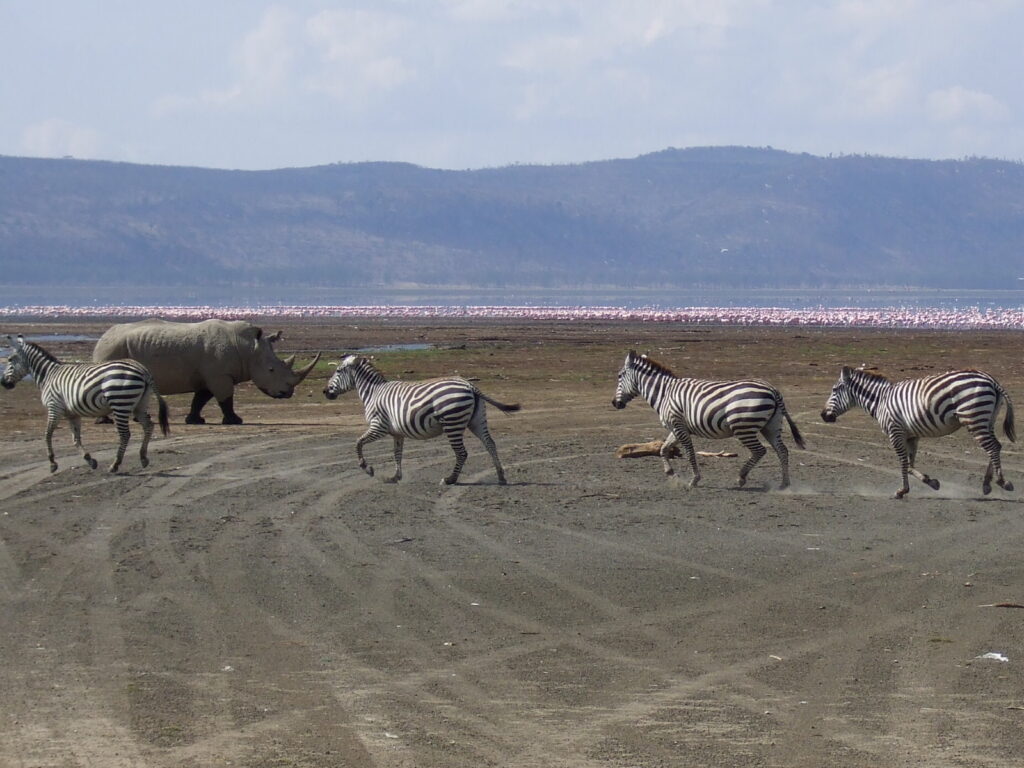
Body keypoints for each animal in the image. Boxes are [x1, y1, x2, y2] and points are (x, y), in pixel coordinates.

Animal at [1, 335, 167, 475]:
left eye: (9, 359)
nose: (3, 383)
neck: (48, 375)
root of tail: (142, 369)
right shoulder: (72, 414)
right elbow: (76, 439)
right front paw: (90, 460)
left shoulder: (54, 407)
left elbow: (47, 434)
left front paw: (52, 463)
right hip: (140, 404)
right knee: (148, 426)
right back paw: (143, 458)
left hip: (120, 403)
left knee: (125, 434)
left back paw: (115, 465)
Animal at [323, 356, 520, 487]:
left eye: (338, 371)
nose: (325, 392)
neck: (373, 393)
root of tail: (470, 385)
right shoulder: (397, 432)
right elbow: (397, 454)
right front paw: (395, 477)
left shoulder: (379, 426)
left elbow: (358, 443)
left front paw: (367, 468)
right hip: (476, 421)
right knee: (490, 443)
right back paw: (501, 477)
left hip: (452, 422)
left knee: (462, 453)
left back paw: (451, 479)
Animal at [610, 352, 802, 489]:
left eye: (619, 376)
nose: (614, 403)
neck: (665, 393)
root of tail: (773, 389)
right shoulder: (676, 427)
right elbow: (663, 449)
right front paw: (671, 473)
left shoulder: (678, 426)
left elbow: (689, 452)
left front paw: (694, 480)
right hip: (771, 426)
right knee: (782, 451)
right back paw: (784, 484)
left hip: (743, 427)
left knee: (760, 450)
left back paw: (741, 478)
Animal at [819, 364, 1011, 499]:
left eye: (834, 390)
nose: (823, 415)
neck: (881, 400)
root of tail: (990, 379)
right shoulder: (912, 436)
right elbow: (911, 465)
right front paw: (932, 482)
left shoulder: (895, 432)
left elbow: (903, 463)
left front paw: (902, 491)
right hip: (986, 419)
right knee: (996, 446)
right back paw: (987, 484)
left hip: (974, 417)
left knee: (992, 448)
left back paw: (1002, 482)